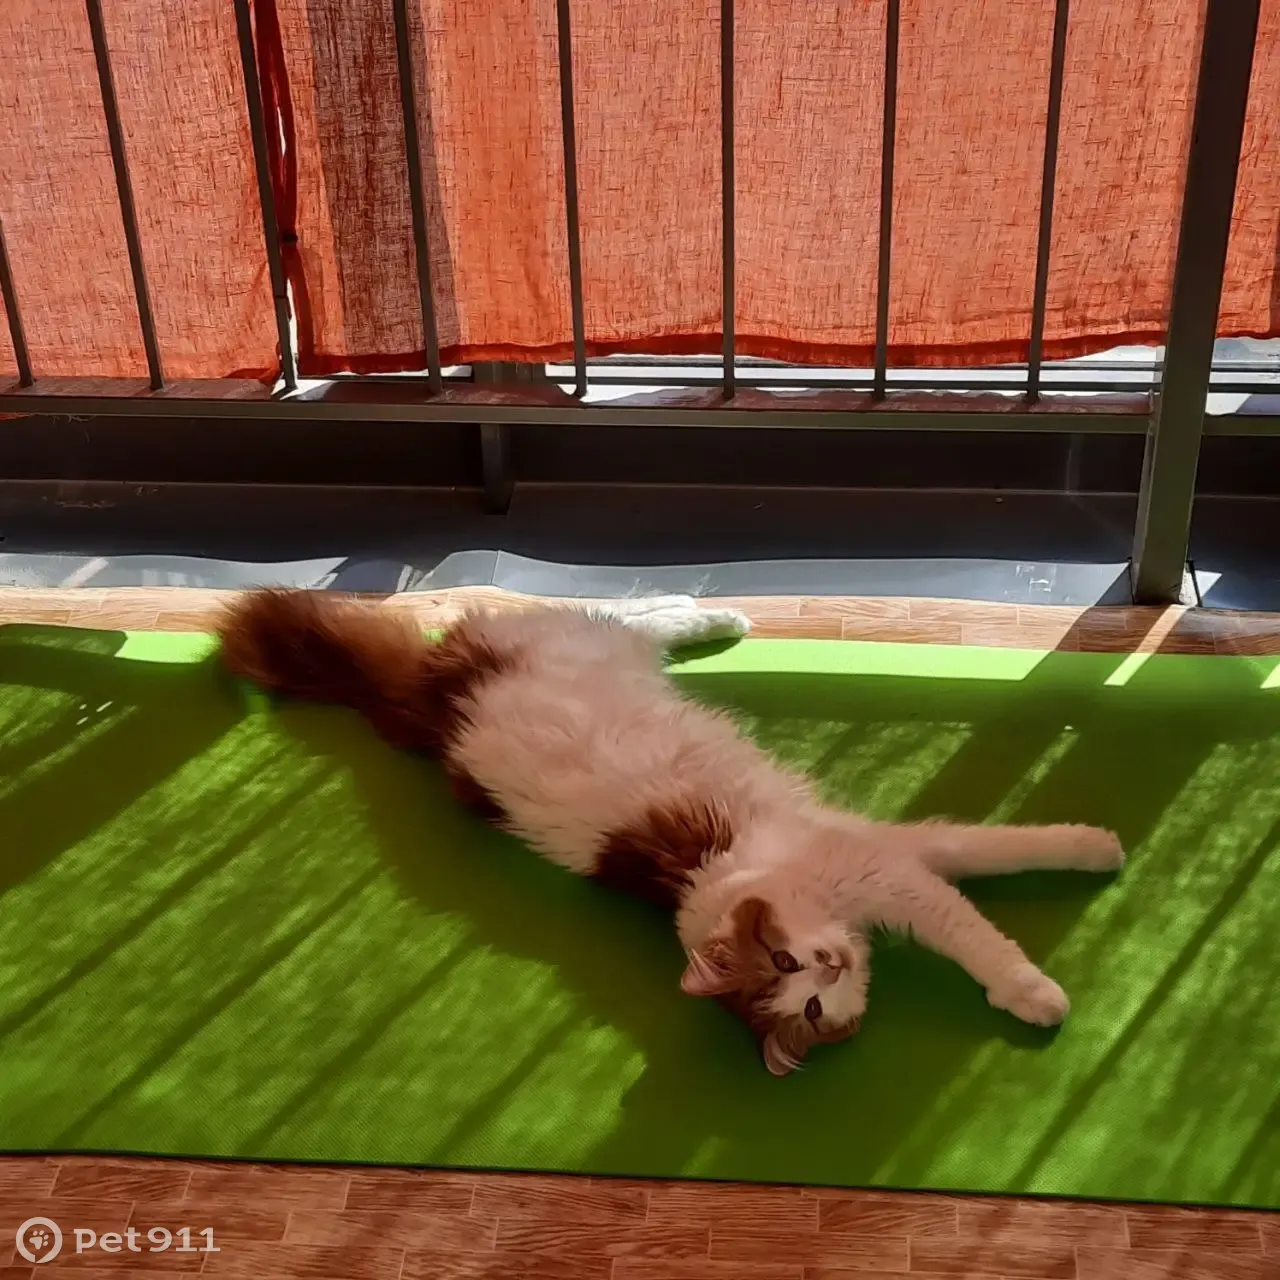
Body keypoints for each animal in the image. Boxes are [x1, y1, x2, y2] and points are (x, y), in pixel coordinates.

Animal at [218, 589, 1124, 1076]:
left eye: (790, 965)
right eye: (807, 999)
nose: (830, 965)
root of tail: (431, 705)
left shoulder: (882, 862)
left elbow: (1002, 869)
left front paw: (1096, 849)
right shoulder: (897, 864)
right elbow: (981, 907)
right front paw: (1037, 988)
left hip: (578, 640)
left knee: (629, 609)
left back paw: (718, 615)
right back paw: (715, 615)